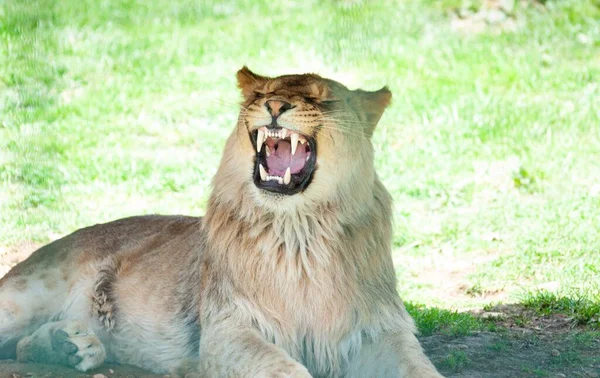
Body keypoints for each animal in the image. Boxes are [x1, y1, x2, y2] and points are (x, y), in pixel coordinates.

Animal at [0, 68, 440, 378]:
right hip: (22, 298)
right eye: (262, 94)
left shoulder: (376, 329)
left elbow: (419, 369)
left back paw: (70, 346)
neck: (299, 236)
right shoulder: (228, 325)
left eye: (323, 97)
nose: (274, 105)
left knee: (20, 348)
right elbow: (281, 368)